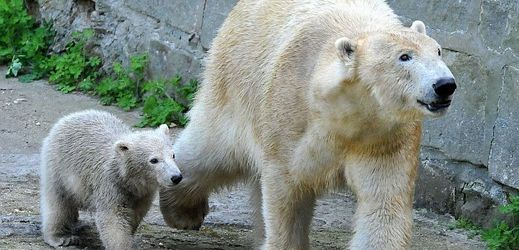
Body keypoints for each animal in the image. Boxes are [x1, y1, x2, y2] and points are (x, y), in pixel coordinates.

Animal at [40, 110, 183, 249]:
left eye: (173, 155)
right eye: (154, 160)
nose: (176, 177)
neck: (127, 178)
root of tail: (69, 117)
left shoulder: (143, 194)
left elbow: (135, 214)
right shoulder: (109, 184)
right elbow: (112, 218)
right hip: (59, 166)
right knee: (59, 204)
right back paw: (60, 237)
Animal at [160, 0, 458, 249]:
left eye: (438, 51)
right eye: (404, 57)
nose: (445, 85)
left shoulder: (385, 137)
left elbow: (383, 202)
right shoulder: (289, 115)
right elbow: (287, 188)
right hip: (235, 82)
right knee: (211, 148)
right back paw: (182, 210)